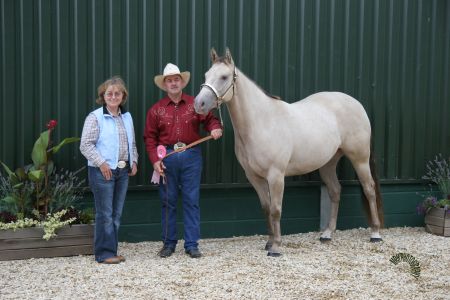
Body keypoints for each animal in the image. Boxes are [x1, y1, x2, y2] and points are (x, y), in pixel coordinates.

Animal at [193, 48, 384, 256]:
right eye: (206, 75)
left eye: (224, 77)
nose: (199, 104)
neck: (262, 122)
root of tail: (356, 104)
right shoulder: (254, 177)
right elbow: (266, 208)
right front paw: (269, 242)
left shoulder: (276, 175)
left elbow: (276, 209)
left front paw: (276, 247)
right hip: (328, 163)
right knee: (335, 191)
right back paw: (327, 234)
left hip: (360, 159)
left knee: (369, 189)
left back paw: (375, 234)